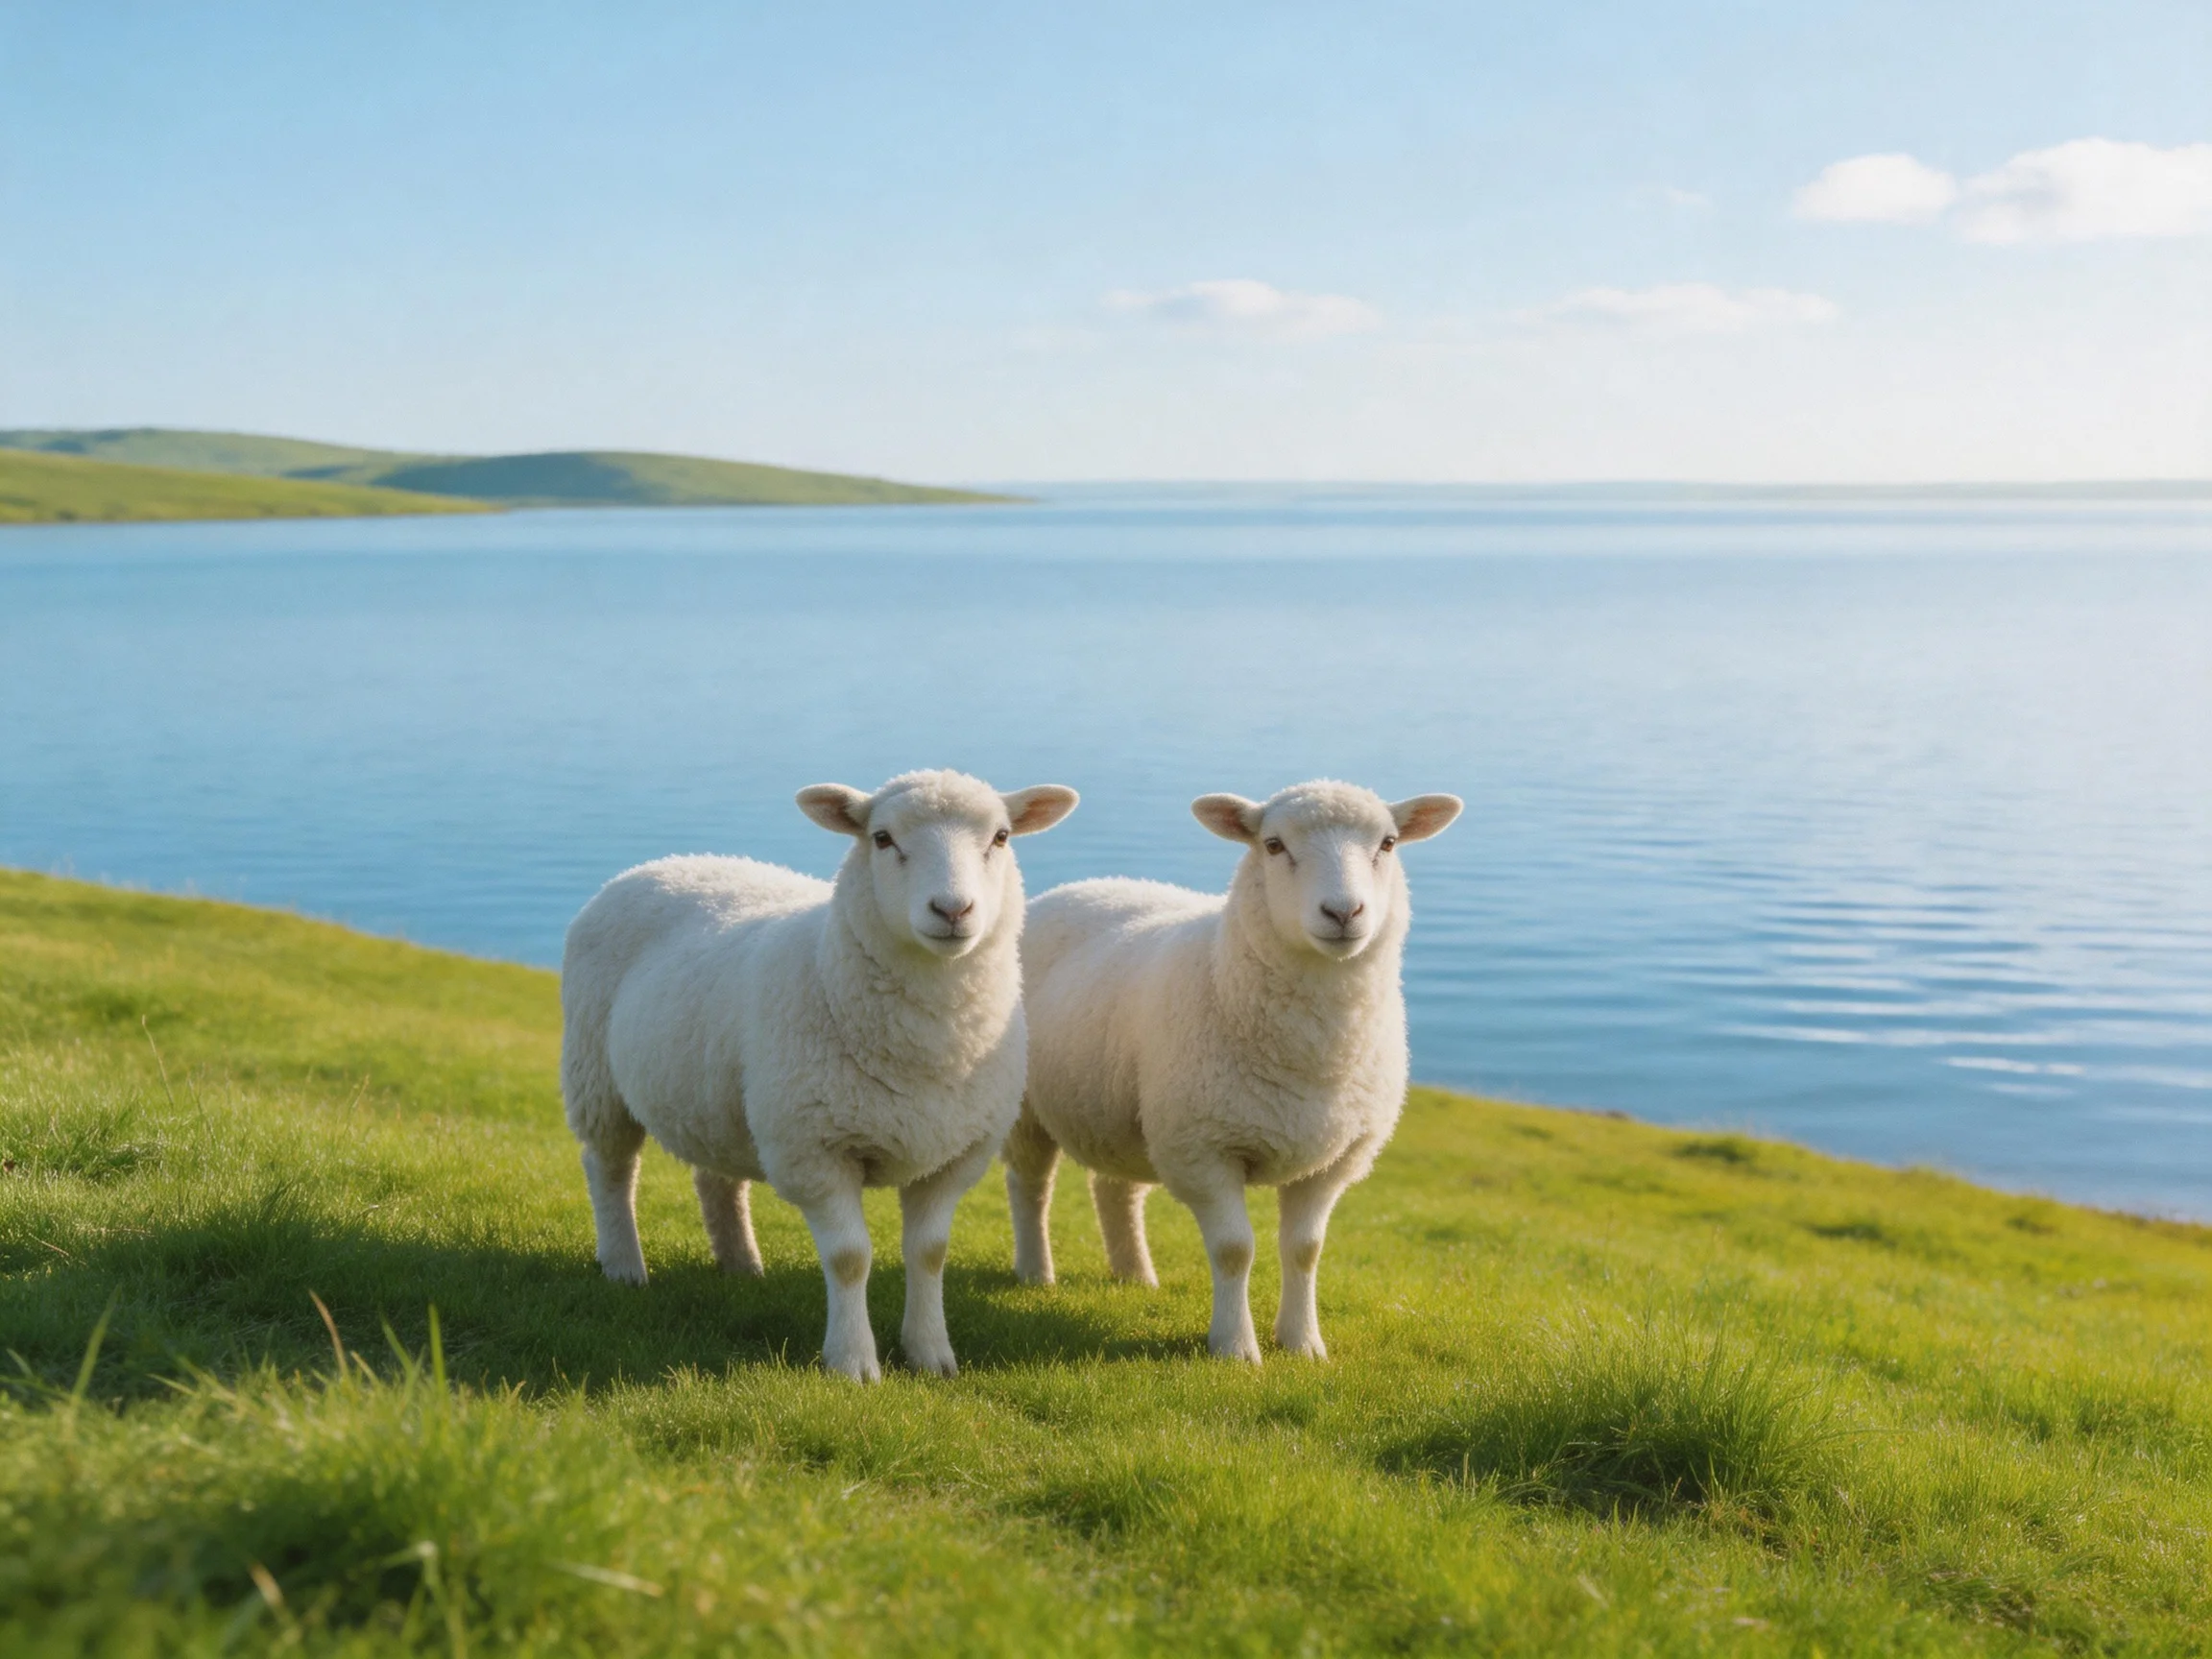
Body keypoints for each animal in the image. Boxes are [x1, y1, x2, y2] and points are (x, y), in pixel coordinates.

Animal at [561, 770, 1078, 1382]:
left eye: (1000, 837)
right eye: (882, 838)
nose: (953, 909)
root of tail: (661, 863)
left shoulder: (953, 1157)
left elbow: (929, 1254)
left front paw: (931, 1354)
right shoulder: (816, 1150)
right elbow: (850, 1257)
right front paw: (853, 1362)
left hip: (724, 1099)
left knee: (717, 1179)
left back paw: (740, 1262)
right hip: (596, 1076)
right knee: (610, 1168)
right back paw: (624, 1264)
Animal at [1003, 780, 1461, 1363]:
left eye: (1388, 843)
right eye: (1273, 845)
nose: (1343, 912)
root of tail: (1084, 885)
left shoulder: (1333, 1160)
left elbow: (1306, 1250)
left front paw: (1303, 1343)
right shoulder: (1203, 1149)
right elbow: (1234, 1249)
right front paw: (1235, 1347)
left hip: (1127, 1112)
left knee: (1115, 1190)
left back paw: (1135, 1275)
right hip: (1029, 1111)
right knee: (1031, 1187)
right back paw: (1036, 1272)